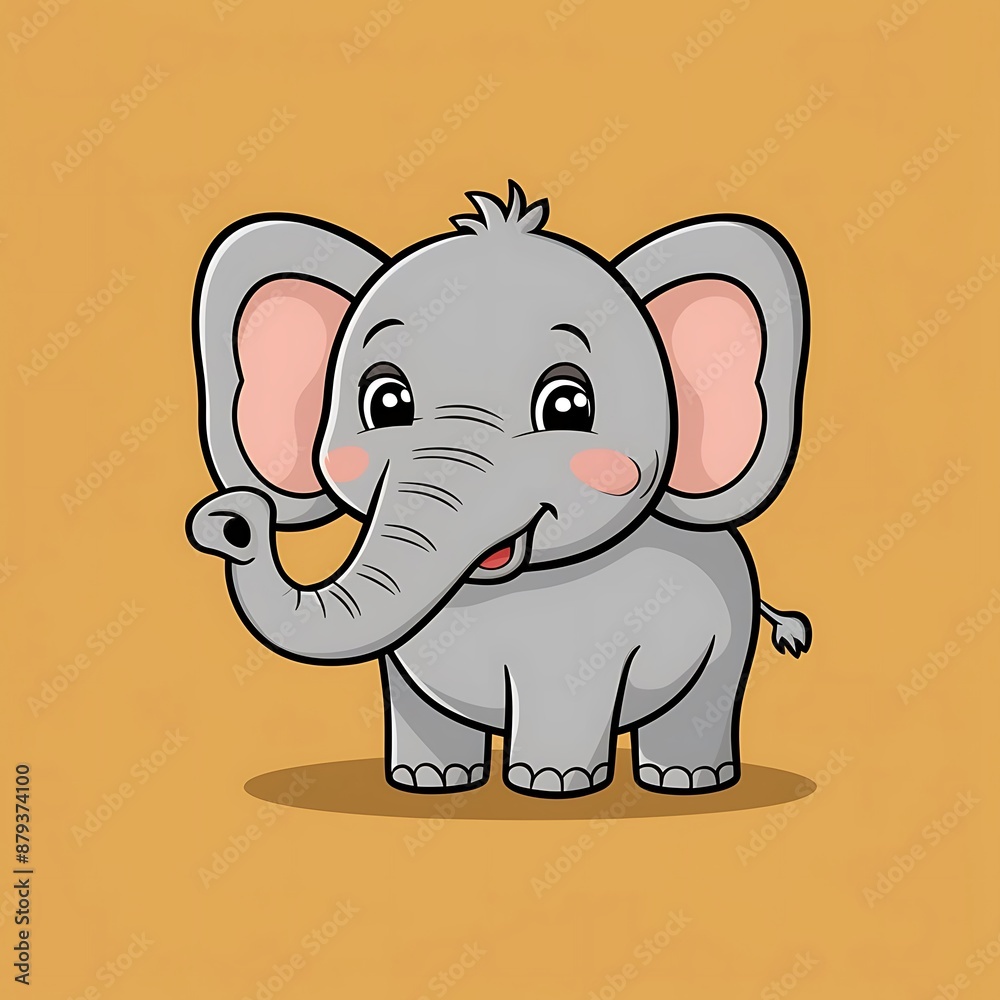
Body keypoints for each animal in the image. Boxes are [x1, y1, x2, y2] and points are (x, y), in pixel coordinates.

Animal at [186, 180, 812, 799]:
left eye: (568, 406)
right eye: (385, 401)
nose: (231, 522)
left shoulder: (581, 643)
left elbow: (564, 698)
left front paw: (552, 785)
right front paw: (429, 781)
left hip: (730, 632)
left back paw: (686, 780)